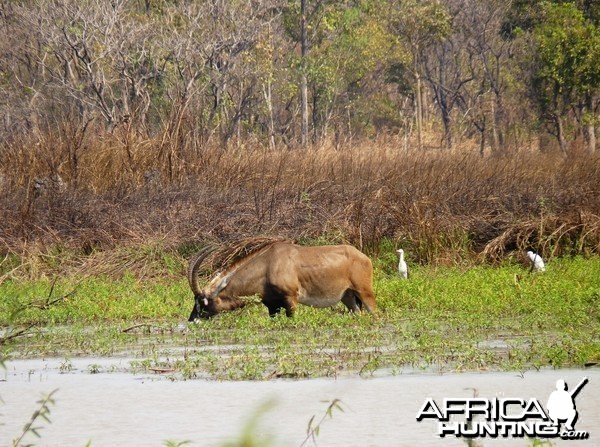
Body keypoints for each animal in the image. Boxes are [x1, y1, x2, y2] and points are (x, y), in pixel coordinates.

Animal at [189, 242, 376, 322]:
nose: (192, 320)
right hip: (348, 297)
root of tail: (363, 257)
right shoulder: (272, 306)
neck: (268, 264)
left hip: (365, 293)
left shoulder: (290, 299)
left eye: (203, 302)